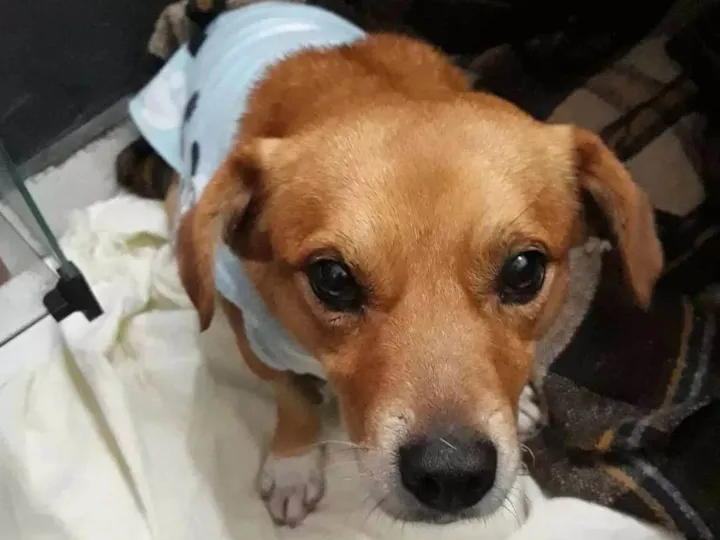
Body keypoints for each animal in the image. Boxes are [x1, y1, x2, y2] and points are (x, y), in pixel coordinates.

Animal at [116, 0, 663, 527]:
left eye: (524, 270)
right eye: (333, 278)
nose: (451, 475)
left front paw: (524, 398)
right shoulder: (253, 338)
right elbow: (292, 399)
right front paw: (294, 464)